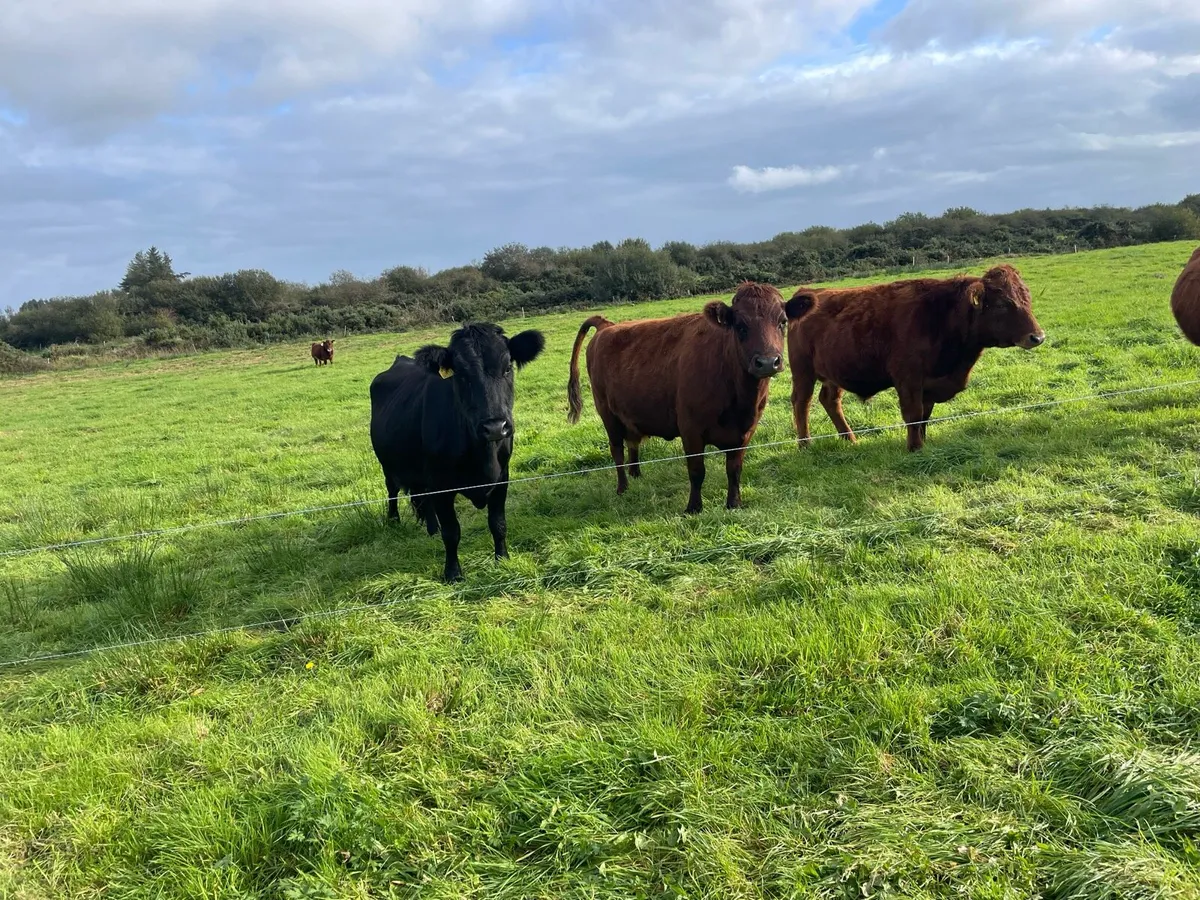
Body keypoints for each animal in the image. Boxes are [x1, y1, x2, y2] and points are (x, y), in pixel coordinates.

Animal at [369, 322, 545, 582]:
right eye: (461, 375)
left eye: (507, 368)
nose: (495, 427)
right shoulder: (441, 485)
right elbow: (452, 532)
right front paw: (453, 573)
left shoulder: (502, 477)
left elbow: (498, 523)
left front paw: (502, 558)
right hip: (388, 465)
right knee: (392, 490)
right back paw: (393, 521)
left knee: (421, 498)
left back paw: (432, 529)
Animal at [566, 281, 787, 515]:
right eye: (740, 326)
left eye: (783, 322)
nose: (767, 362)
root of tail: (606, 326)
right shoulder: (690, 429)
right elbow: (697, 471)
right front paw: (693, 508)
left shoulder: (745, 432)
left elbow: (734, 470)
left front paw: (734, 503)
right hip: (607, 413)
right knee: (617, 449)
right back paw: (623, 487)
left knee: (632, 442)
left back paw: (636, 474)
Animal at [784, 264, 1046, 452]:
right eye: (1002, 304)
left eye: (1027, 298)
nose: (1038, 336)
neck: (942, 316)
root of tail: (808, 292)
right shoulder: (908, 379)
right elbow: (912, 414)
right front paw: (914, 447)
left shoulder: (928, 384)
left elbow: (924, 417)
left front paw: (923, 443)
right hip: (802, 371)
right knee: (801, 402)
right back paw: (805, 444)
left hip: (832, 372)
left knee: (829, 400)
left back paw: (850, 439)